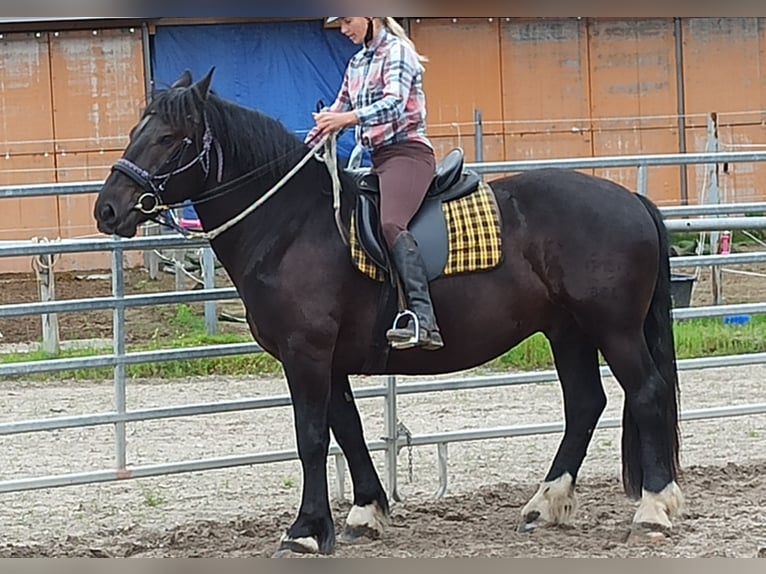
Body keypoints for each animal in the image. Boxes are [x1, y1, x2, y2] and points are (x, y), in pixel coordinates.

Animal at [93, 68, 688, 560]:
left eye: (171, 138)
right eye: (136, 130)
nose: (108, 209)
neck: (293, 225)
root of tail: (633, 202)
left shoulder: (306, 353)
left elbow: (312, 436)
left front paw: (306, 531)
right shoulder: (328, 360)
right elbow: (348, 429)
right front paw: (363, 514)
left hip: (614, 329)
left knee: (646, 393)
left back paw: (654, 510)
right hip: (568, 331)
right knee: (585, 403)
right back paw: (546, 503)